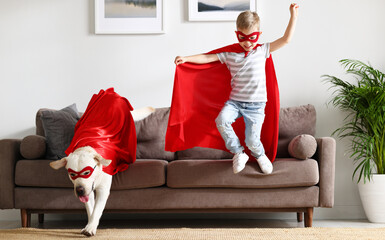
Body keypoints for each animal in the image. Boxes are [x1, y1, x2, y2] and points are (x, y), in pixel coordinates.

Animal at [49, 107, 153, 236]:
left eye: (86, 172)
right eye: (72, 174)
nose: (79, 190)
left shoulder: (103, 190)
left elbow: (97, 210)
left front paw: (90, 228)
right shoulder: (88, 192)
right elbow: (91, 210)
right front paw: (89, 225)